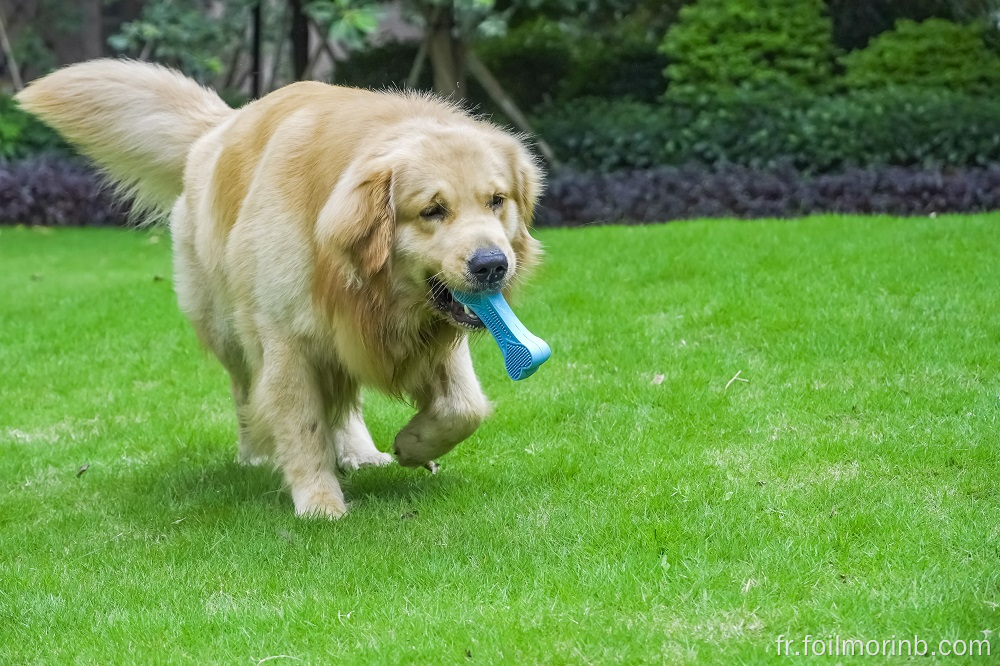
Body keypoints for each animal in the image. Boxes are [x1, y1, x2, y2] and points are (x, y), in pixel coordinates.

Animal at [15, 59, 544, 516]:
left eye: (496, 200)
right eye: (433, 210)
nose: (493, 265)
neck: (359, 287)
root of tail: (219, 128)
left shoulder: (428, 334)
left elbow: (465, 407)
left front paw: (412, 445)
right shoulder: (287, 340)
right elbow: (303, 425)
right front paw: (320, 503)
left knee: (343, 401)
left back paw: (359, 452)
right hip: (228, 327)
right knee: (246, 390)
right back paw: (256, 453)